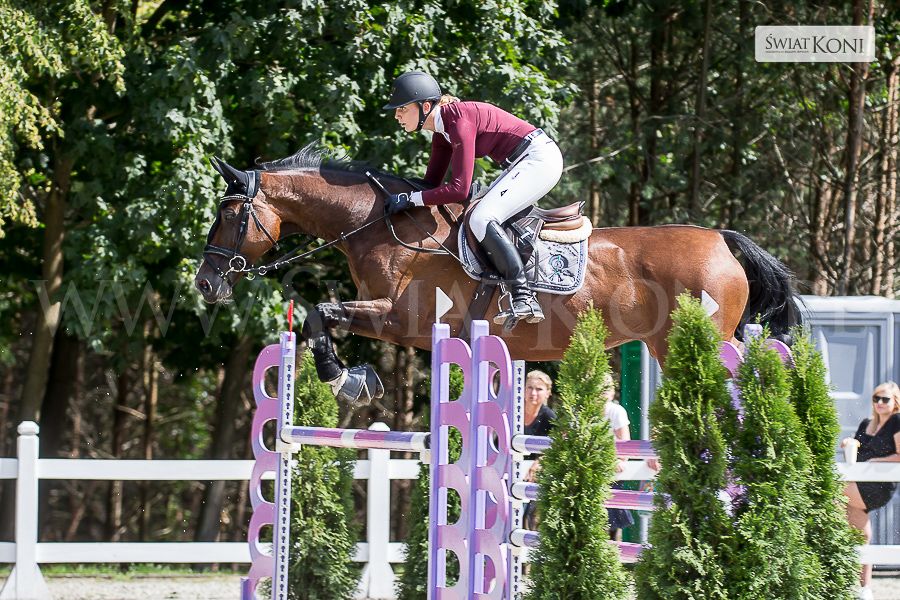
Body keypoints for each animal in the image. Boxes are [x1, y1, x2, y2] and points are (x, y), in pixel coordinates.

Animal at [195, 145, 799, 405]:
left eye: (226, 213)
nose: (204, 282)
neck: (379, 226)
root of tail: (721, 239)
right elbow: (321, 314)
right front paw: (353, 378)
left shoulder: (403, 320)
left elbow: (321, 311)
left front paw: (345, 379)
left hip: (694, 341)